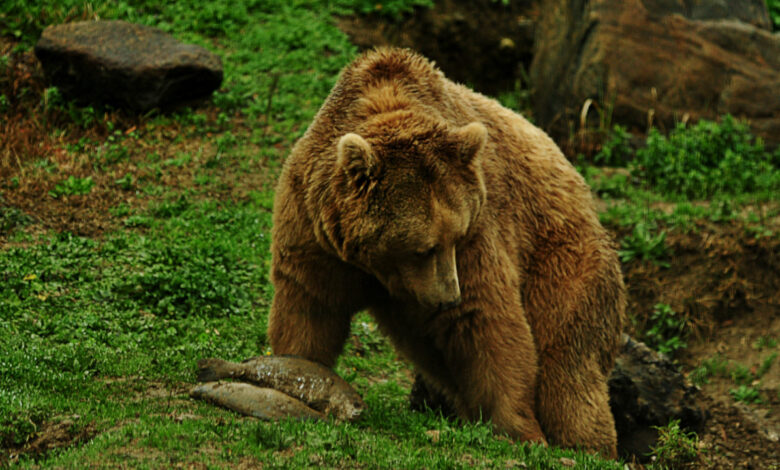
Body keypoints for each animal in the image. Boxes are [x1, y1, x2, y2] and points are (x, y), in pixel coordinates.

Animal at [268, 47, 628, 458]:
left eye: (455, 236)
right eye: (422, 248)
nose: (447, 298)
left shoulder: (480, 228)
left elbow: (488, 321)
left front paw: (518, 428)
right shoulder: (317, 225)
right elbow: (309, 306)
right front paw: (295, 373)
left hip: (563, 256)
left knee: (568, 362)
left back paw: (586, 444)